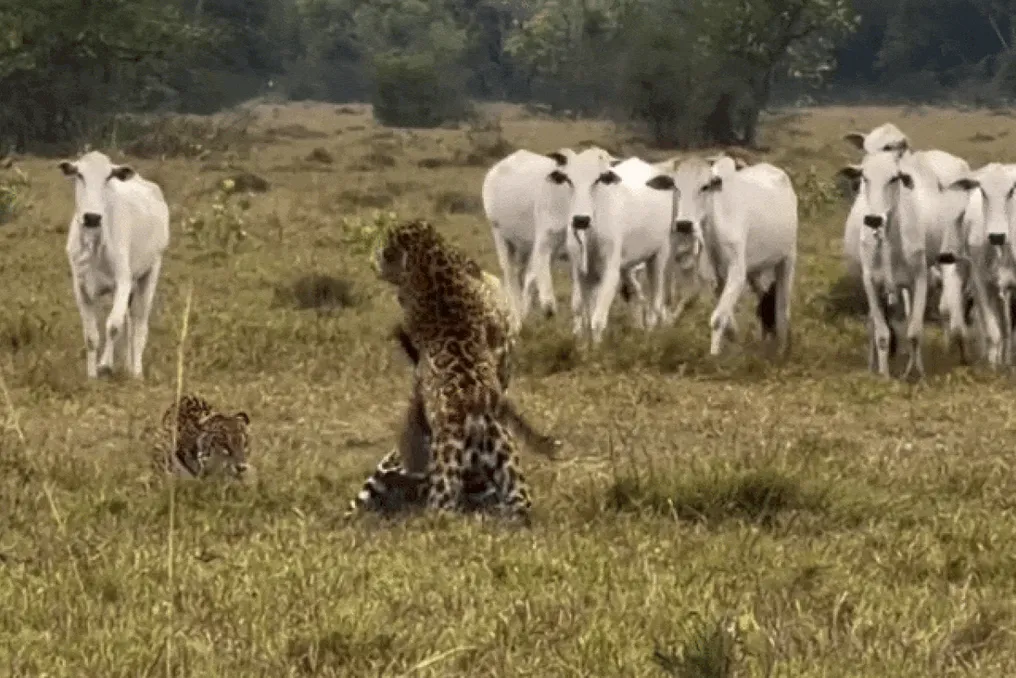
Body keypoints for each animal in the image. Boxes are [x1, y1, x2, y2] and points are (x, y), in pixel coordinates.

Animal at [355, 218, 532, 522]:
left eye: (383, 251)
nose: (372, 261)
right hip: (504, 454)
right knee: (517, 497)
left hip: (451, 459)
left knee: (443, 501)